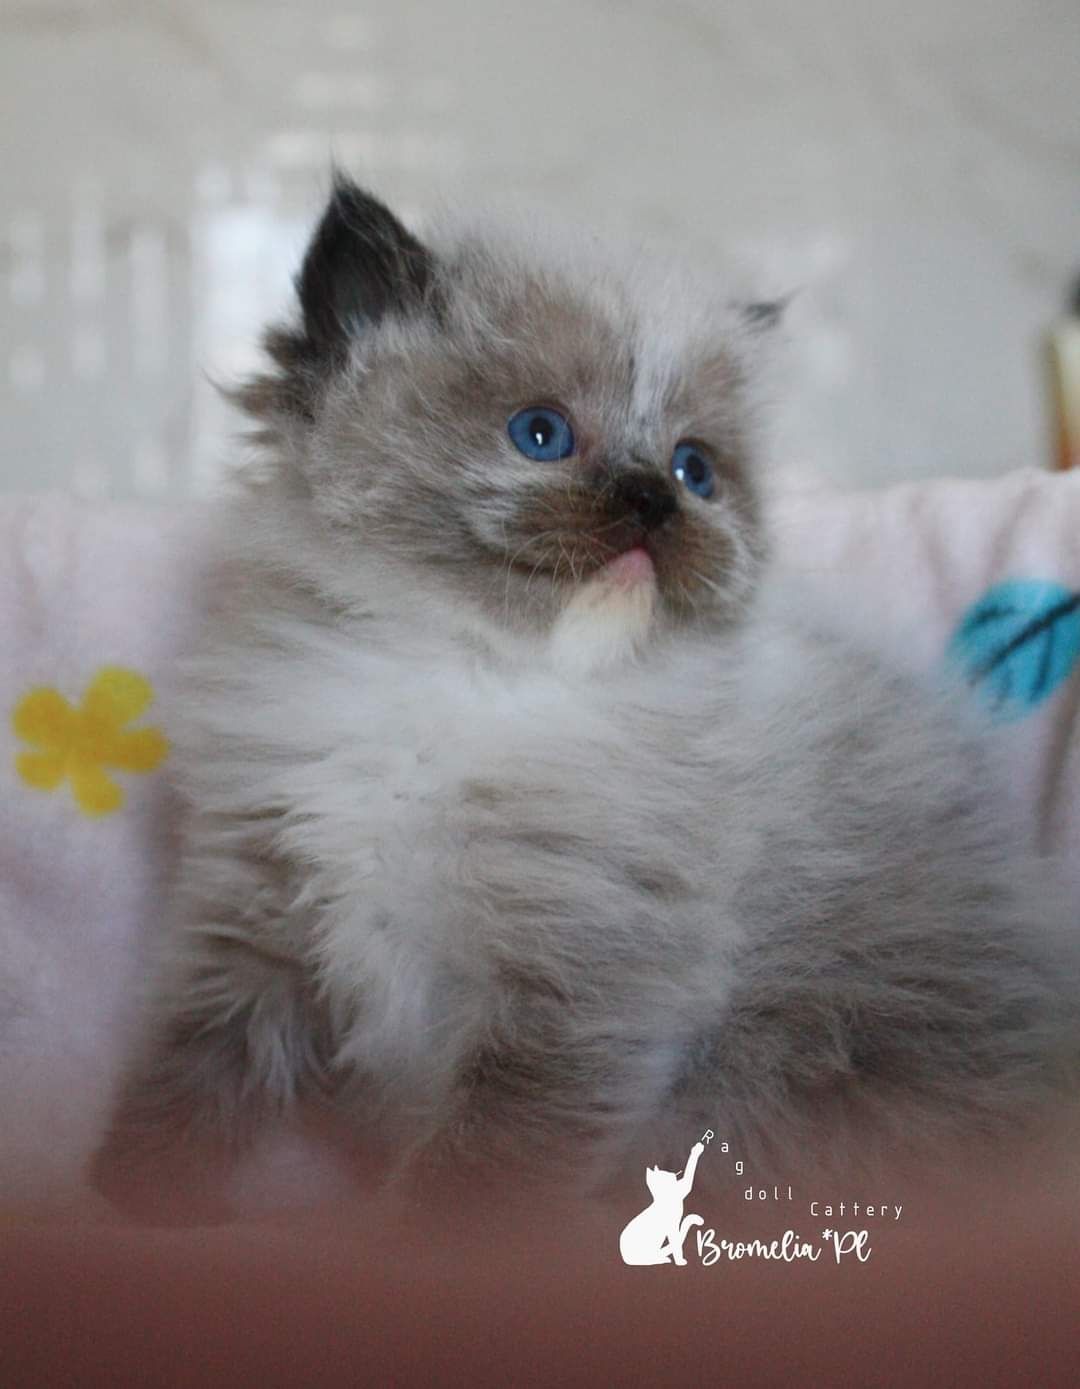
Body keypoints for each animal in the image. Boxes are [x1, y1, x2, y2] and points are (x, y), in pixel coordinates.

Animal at [92, 179, 1077, 1222]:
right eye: (541, 435)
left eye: (694, 469)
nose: (652, 500)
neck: (473, 675)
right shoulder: (258, 913)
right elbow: (192, 1067)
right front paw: (125, 1199)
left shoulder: (574, 982)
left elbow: (479, 1177)